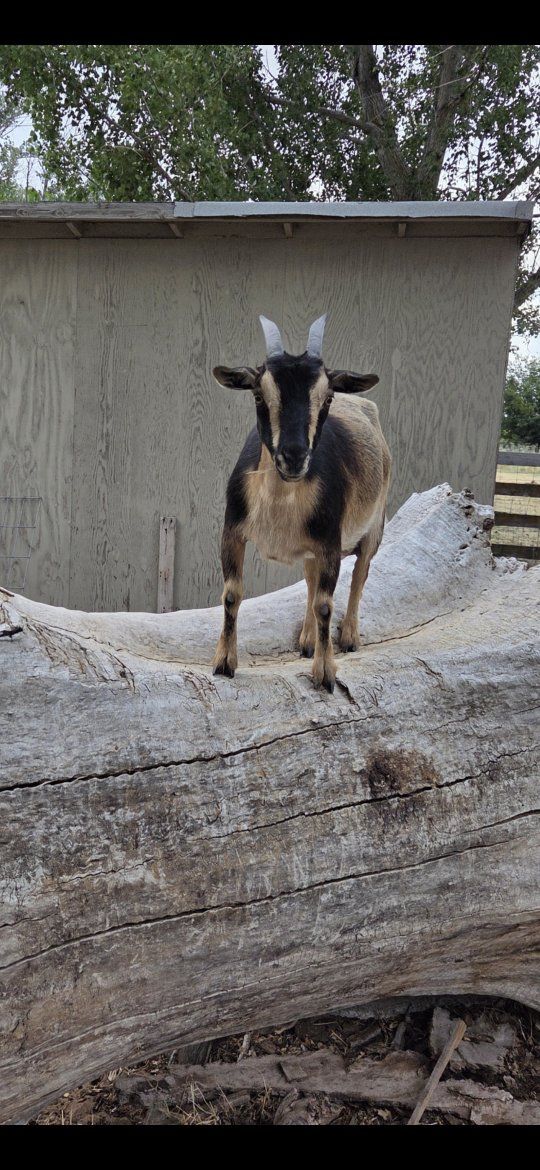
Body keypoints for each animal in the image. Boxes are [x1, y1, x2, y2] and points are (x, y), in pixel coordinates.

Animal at [212, 315, 391, 692]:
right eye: (258, 393)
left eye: (328, 396)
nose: (293, 457)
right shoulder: (232, 530)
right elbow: (232, 594)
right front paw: (224, 662)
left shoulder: (329, 541)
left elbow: (326, 604)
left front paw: (325, 673)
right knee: (310, 580)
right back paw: (307, 640)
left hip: (374, 526)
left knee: (360, 576)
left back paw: (349, 637)